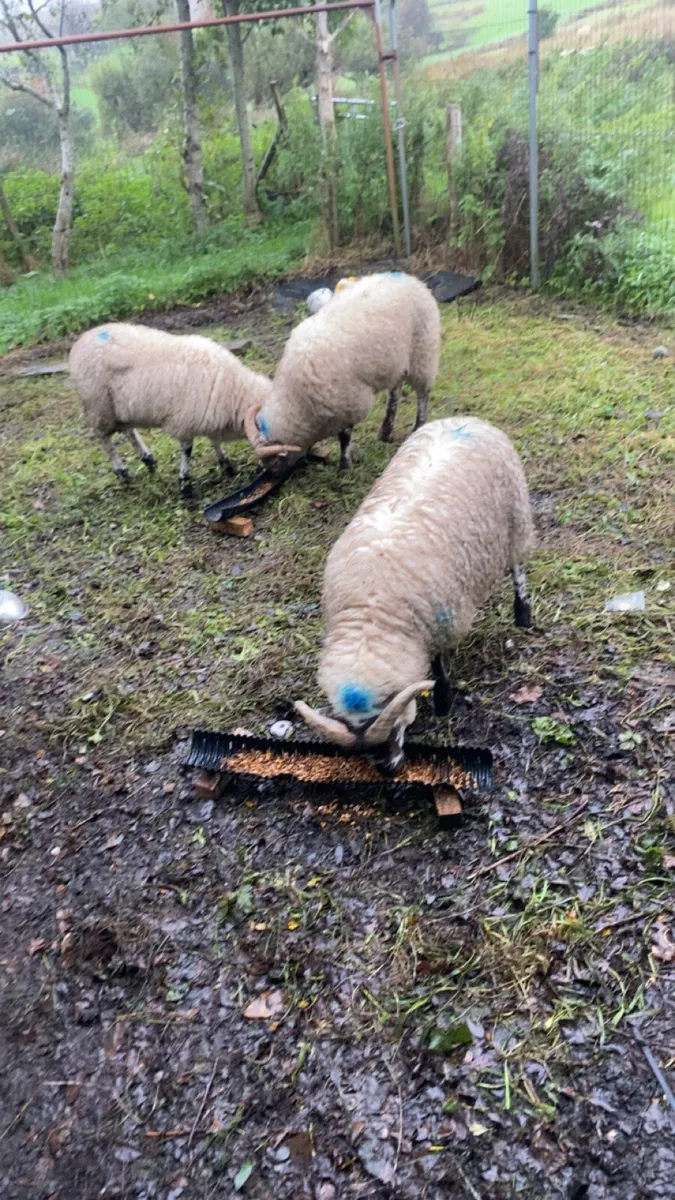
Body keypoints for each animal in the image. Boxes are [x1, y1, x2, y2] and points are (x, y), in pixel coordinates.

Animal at [68, 323, 272, 492]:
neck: (235, 390)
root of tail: (80, 342)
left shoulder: (209, 415)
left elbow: (215, 441)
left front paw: (226, 464)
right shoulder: (185, 421)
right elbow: (188, 449)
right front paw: (184, 481)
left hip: (120, 408)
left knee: (128, 431)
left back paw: (148, 458)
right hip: (98, 404)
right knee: (104, 438)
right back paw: (121, 470)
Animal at [244, 272, 441, 473]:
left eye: (276, 462)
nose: (274, 475)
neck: (296, 399)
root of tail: (412, 279)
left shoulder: (348, 403)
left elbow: (344, 436)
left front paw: (344, 466)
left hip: (423, 351)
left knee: (423, 393)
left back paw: (418, 426)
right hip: (396, 362)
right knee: (395, 392)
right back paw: (385, 432)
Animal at [294, 416, 535, 772]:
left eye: (394, 723)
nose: (387, 769)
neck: (370, 613)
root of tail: (465, 420)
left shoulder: (440, 619)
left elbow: (438, 663)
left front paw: (443, 700)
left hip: (515, 518)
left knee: (517, 567)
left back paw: (523, 615)